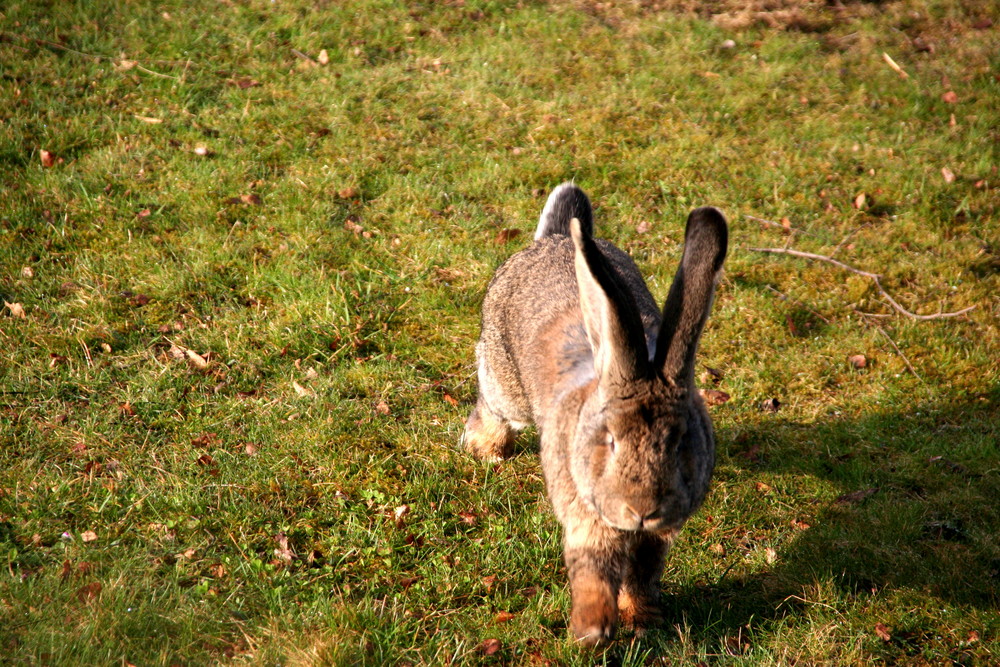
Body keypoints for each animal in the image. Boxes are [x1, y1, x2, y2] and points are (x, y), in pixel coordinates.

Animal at [460, 183, 728, 648]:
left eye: (680, 442)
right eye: (611, 441)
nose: (642, 508)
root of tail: (551, 239)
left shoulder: (655, 537)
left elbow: (641, 575)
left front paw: (641, 620)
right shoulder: (584, 514)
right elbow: (591, 568)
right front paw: (592, 632)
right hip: (505, 383)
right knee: (490, 401)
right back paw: (485, 448)